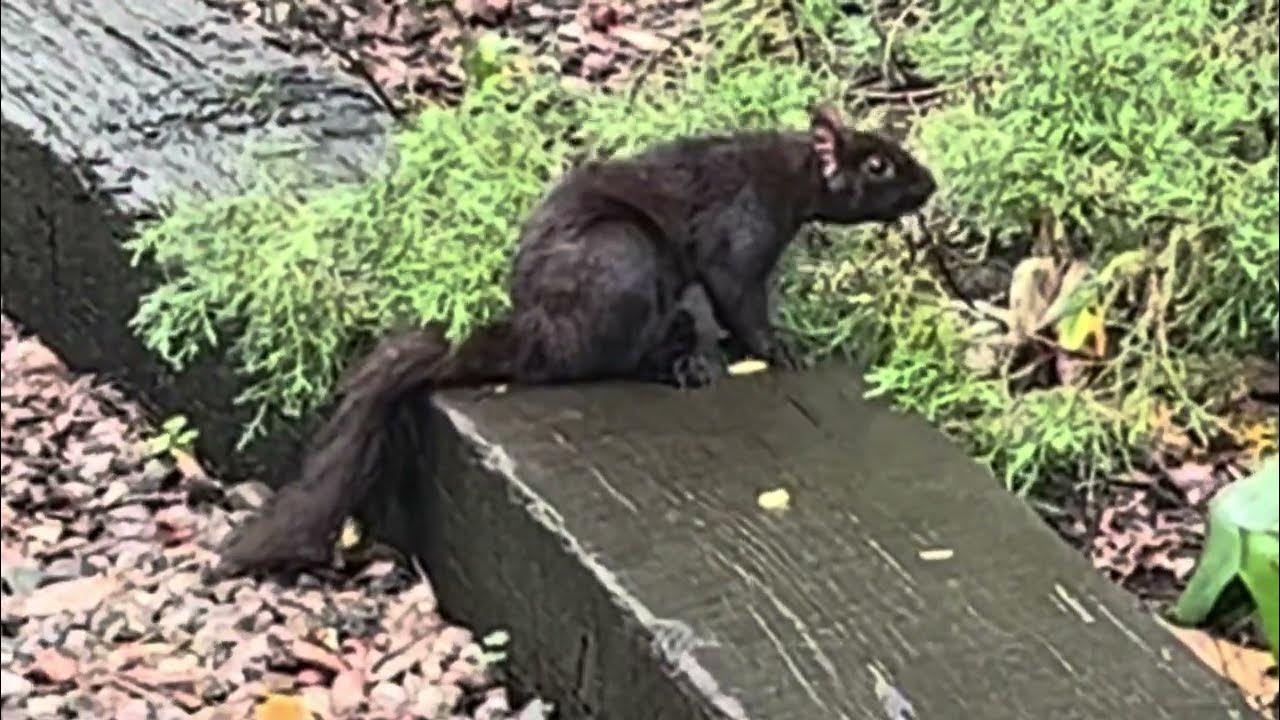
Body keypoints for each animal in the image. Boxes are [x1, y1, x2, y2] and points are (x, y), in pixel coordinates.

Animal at [214, 103, 937, 577]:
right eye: (878, 164)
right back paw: (675, 359)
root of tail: (536, 331)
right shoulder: (739, 231)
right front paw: (781, 346)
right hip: (624, 262)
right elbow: (740, 299)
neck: (787, 174)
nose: (930, 185)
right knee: (603, 359)